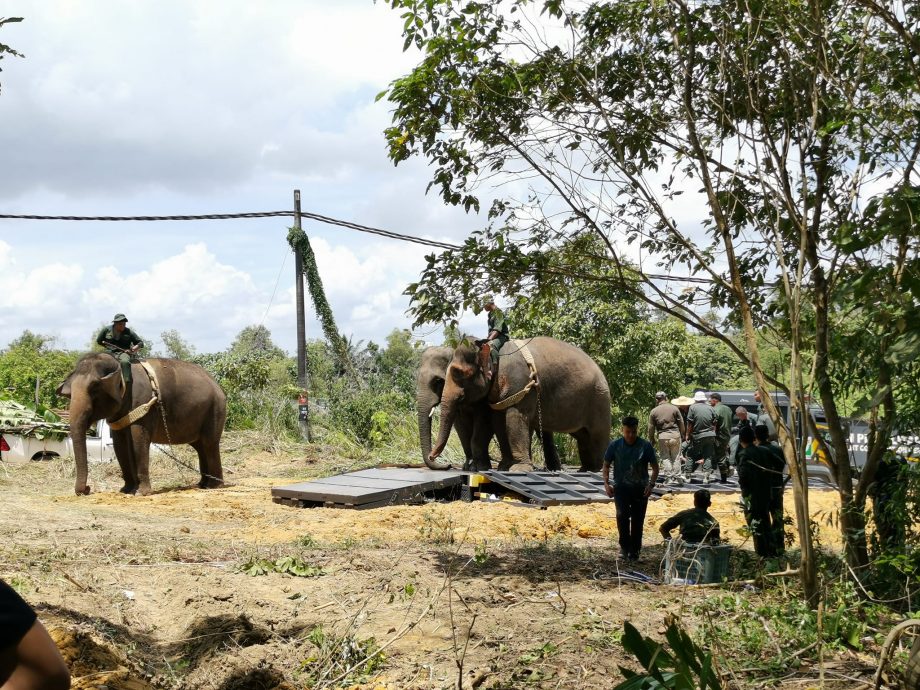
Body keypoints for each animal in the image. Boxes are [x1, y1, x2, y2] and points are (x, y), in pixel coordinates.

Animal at [57, 354, 226, 494]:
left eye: (94, 389)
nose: (87, 489)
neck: (120, 367)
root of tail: (217, 385)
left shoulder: (142, 401)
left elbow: (138, 439)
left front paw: (140, 493)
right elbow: (120, 443)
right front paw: (126, 491)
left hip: (215, 410)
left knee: (209, 444)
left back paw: (213, 486)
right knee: (200, 446)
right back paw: (202, 484)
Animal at [430, 334, 612, 472]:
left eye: (459, 373)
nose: (432, 456)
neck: (492, 349)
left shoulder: (521, 383)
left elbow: (514, 418)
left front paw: (518, 469)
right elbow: (499, 422)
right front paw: (505, 466)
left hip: (599, 399)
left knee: (597, 433)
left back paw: (596, 470)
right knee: (583, 435)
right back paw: (585, 469)